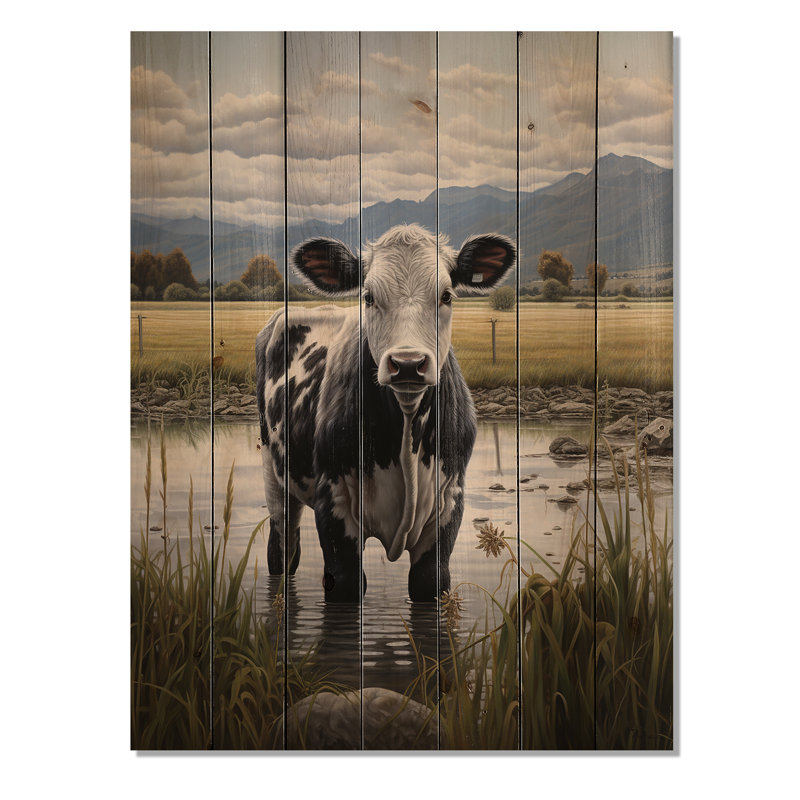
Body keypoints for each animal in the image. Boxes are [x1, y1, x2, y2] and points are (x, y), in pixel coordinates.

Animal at [256, 224, 515, 602]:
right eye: (368, 297)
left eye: (447, 296)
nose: (408, 363)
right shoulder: (332, 503)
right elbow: (346, 582)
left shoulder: (449, 502)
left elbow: (429, 581)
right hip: (273, 474)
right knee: (282, 551)